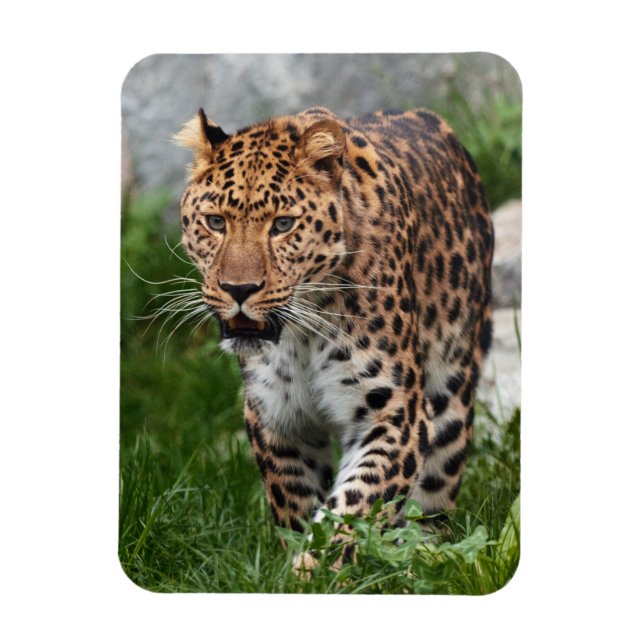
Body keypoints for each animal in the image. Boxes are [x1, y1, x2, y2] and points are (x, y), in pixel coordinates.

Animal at [174, 105, 494, 541]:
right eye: (215, 222)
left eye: (283, 225)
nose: (239, 289)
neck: (302, 333)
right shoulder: (276, 416)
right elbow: (296, 505)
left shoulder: (396, 413)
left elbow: (354, 508)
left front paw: (321, 556)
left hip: (452, 392)